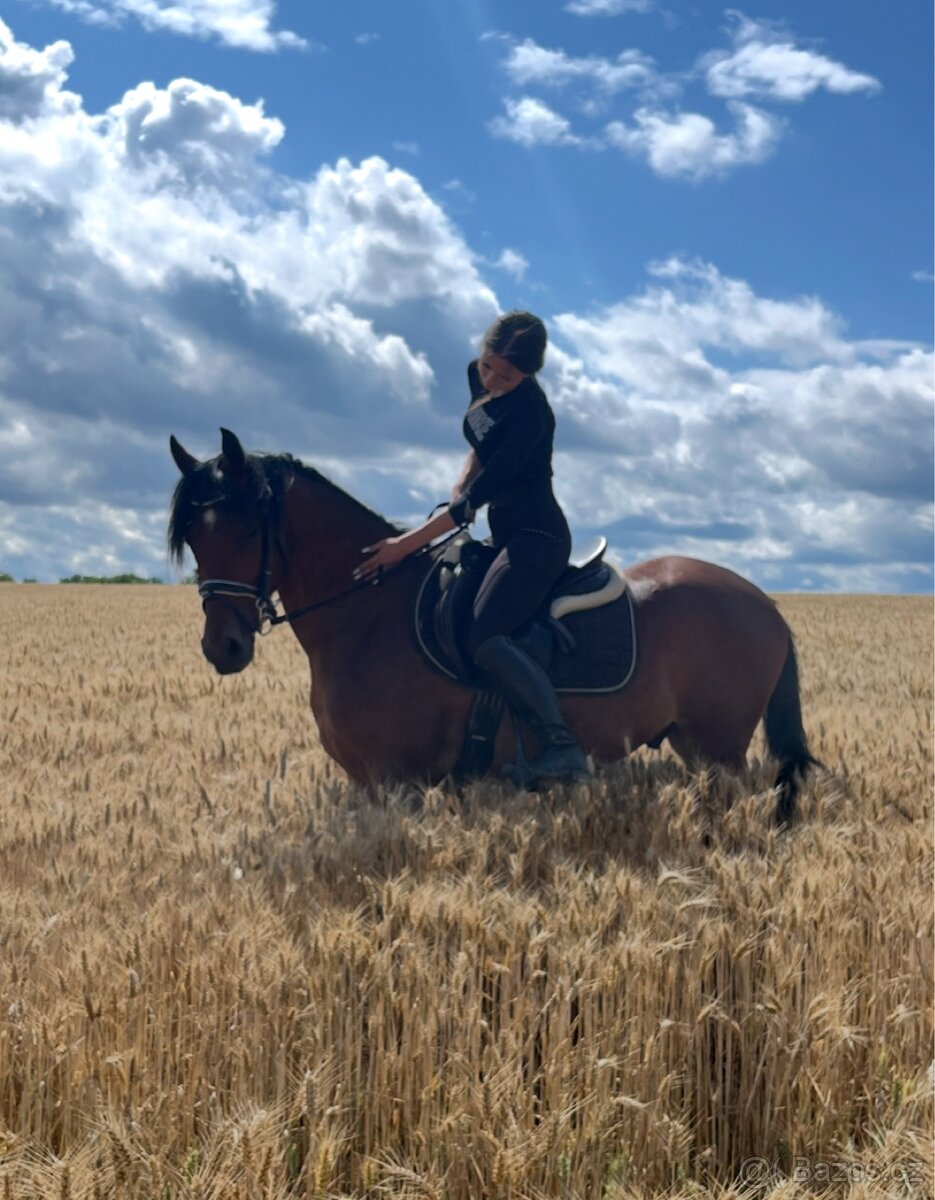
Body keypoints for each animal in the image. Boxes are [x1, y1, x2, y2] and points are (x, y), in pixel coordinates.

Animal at [168, 429, 818, 825]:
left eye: (245, 527)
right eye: (193, 536)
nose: (222, 646)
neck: (368, 614)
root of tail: (764, 604)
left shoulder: (393, 783)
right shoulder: (365, 784)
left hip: (720, 749)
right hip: (697, 746)